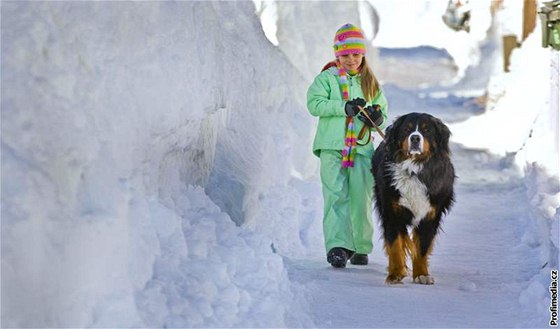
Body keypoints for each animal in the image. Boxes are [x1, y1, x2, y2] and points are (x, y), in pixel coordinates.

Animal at [372, 111, 456, 284]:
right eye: (407, 129)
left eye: (426, 130)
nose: (415, 138)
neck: (414, 171)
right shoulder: (392, 213)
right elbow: (395, 245)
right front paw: (395, 273)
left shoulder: (430, 215)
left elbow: (422, 247)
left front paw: (422, 274)